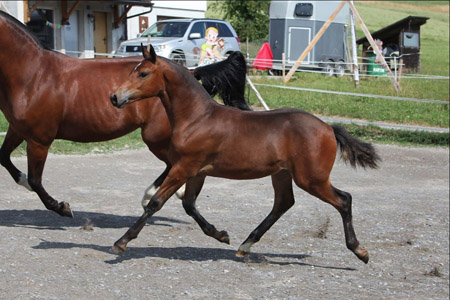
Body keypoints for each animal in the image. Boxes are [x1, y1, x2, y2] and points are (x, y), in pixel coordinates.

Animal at [0, 10, 250, 217]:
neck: (34, 74)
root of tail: (188, 71)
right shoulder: (17, 130)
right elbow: (5, 159)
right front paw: (25, 182)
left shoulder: (39, 140)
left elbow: (35, 180)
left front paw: (62, 207)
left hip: (155, 137)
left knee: (172, 163)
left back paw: (150, 196)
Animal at [110, 45, 380, 264]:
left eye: (143, 74)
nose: (114, 97)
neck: (197, 117)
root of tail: (328, 128)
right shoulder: (196, 172)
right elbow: (188, 205)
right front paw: (221, 235)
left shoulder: (183, 167)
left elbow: (156, 202)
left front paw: (121, 242)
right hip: (282, 174)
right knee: (283, 203)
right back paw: (245, 245)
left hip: (311, 179)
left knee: (344, 200)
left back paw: (360, 251)